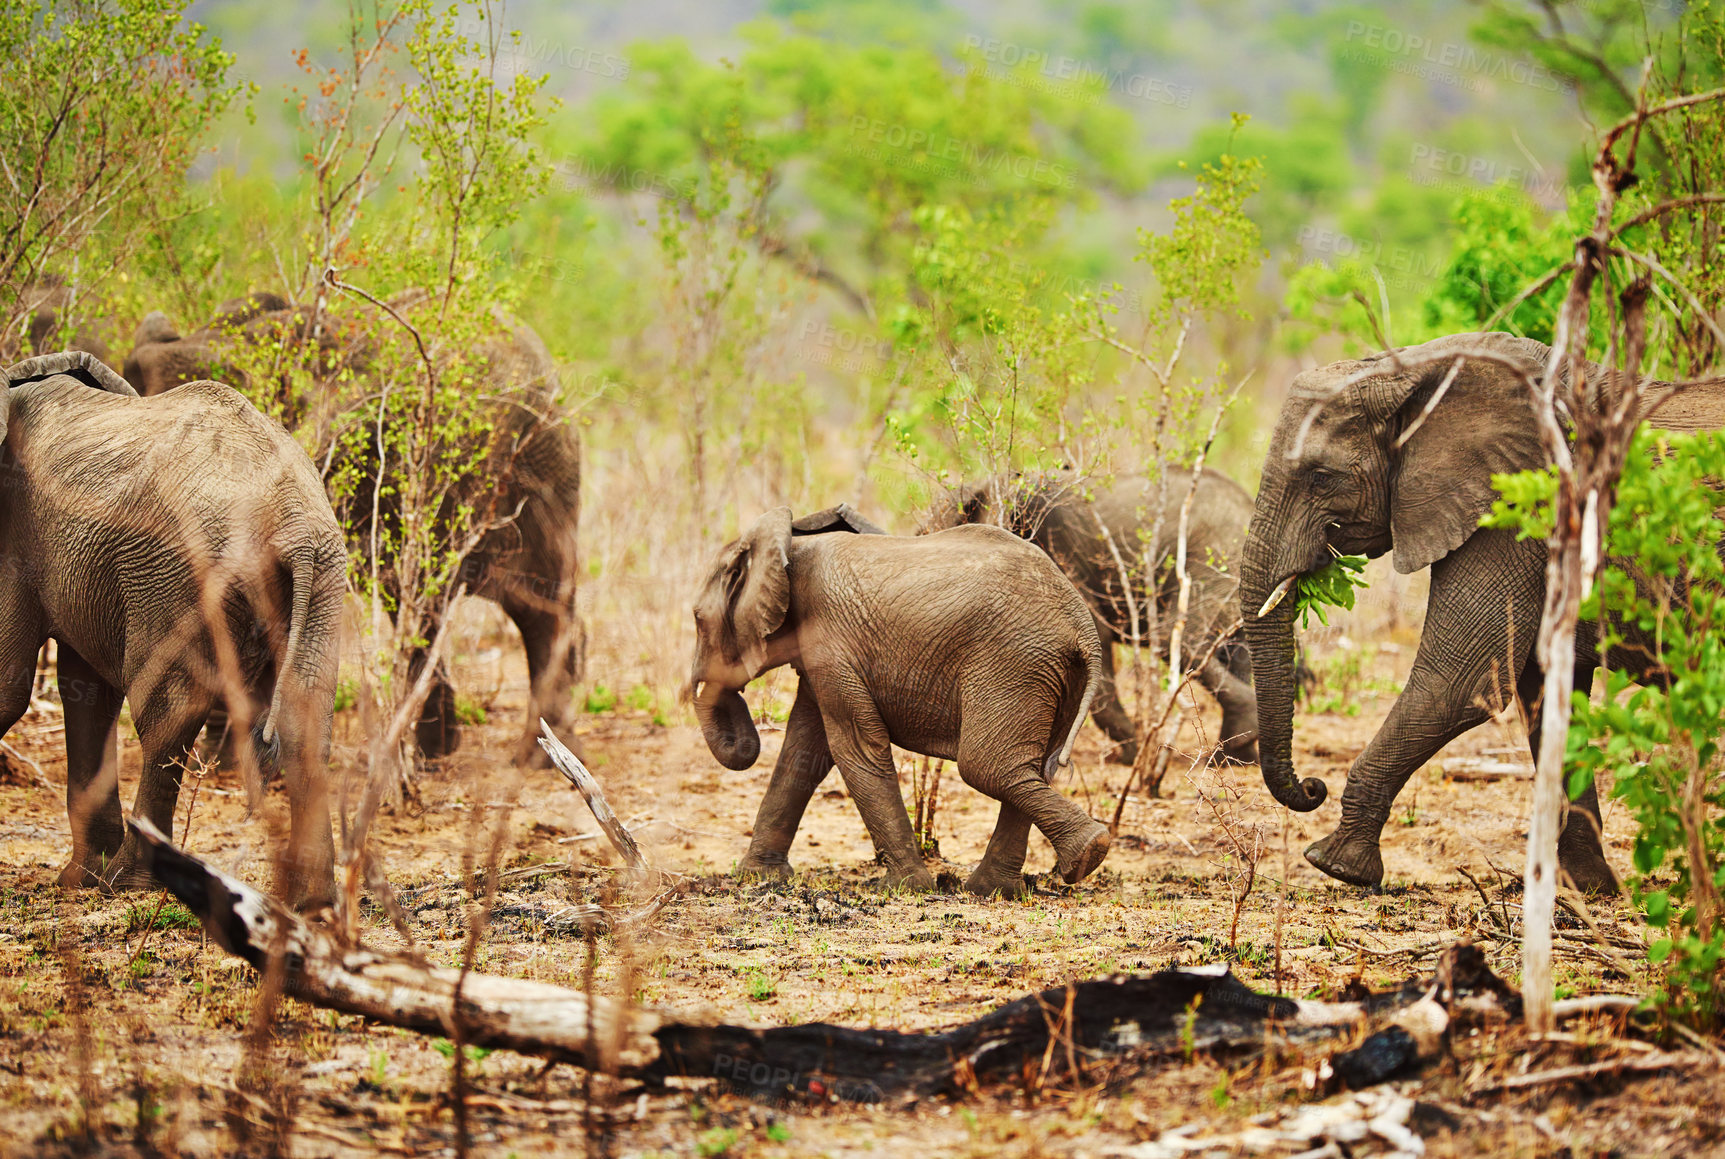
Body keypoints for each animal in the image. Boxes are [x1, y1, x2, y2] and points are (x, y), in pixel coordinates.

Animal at [0, 350, 345, 908]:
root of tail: (291, 520)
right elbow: (88, 693)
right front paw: (77, 880)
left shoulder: (12, 533)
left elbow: (8, 687)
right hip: (324, 578)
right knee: (306, 715)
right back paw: (311, 903)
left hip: (179, 576)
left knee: (167, 717)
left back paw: (126, 883)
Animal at [690, 504, 1112, 897]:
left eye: (696, 618)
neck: (789, 545)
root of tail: (1083, 627)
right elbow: (805, 752)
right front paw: (758, 877)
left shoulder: (830, 645)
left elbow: (854, 747)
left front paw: (904, 887)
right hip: (1051, 672)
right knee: (1033, 766)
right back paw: (995, 888)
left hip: (1013, 662)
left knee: (987, 768)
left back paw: (1086, 853)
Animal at [925, 468, 1258, 765]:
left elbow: (1097, 634)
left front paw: (1130, 754)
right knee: (1237, 652)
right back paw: (1239, 757)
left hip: (1216, 557)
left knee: (1175, 639)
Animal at [1240, 330, 1725, 893]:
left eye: (1320, 478)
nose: (1312, 787)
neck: (1416, 369)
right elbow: (1547, 695)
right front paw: (1586, 888)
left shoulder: (1515, 507)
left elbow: (1458, 683)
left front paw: (1335, 864)